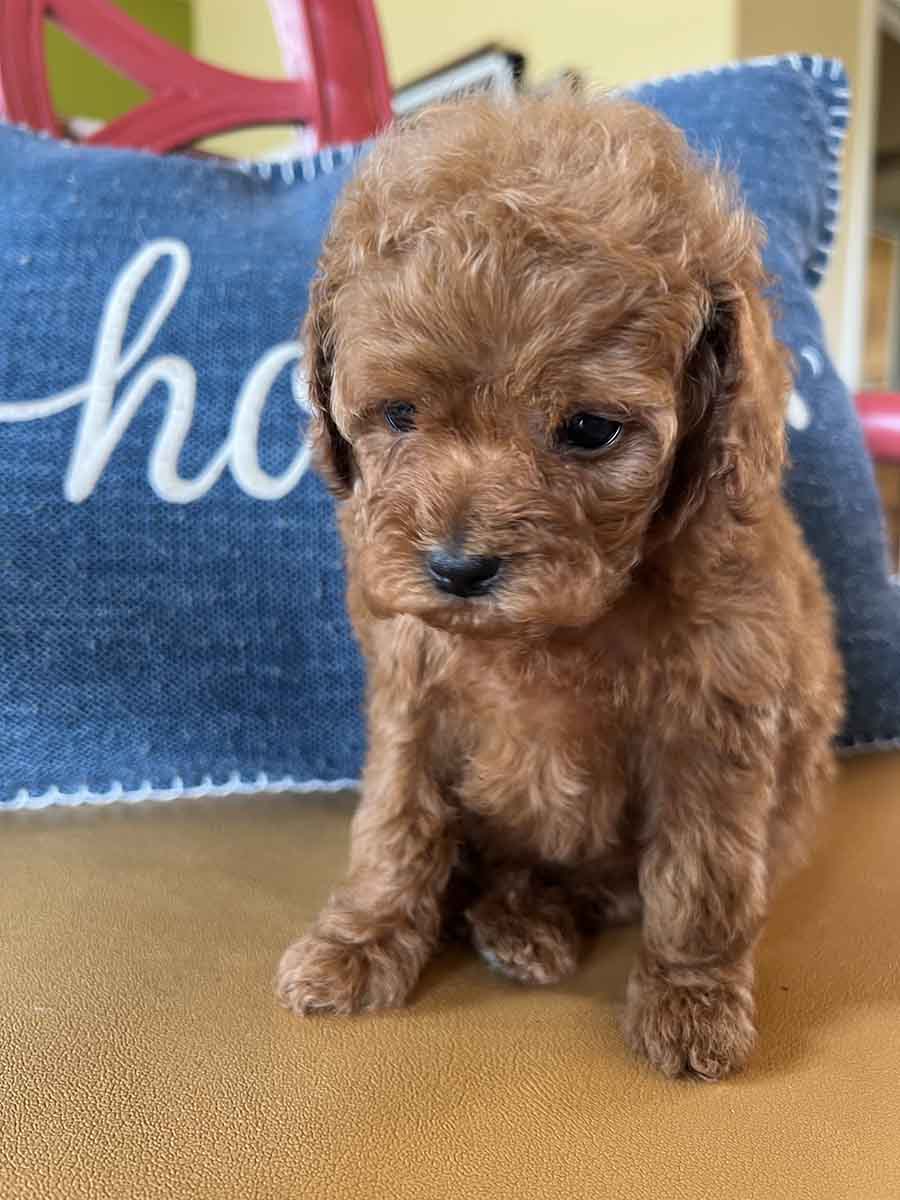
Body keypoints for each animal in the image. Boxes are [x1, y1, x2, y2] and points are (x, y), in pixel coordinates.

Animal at [275, 91, 843, 1080]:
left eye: (587, 430)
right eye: (399, 415)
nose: (458, 568)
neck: (548, 630)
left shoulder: (716, 718)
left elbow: (701, 875)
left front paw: (691, 1000)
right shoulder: (412, 688)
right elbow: (395, 825)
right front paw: (361, 941)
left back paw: (525, 921)